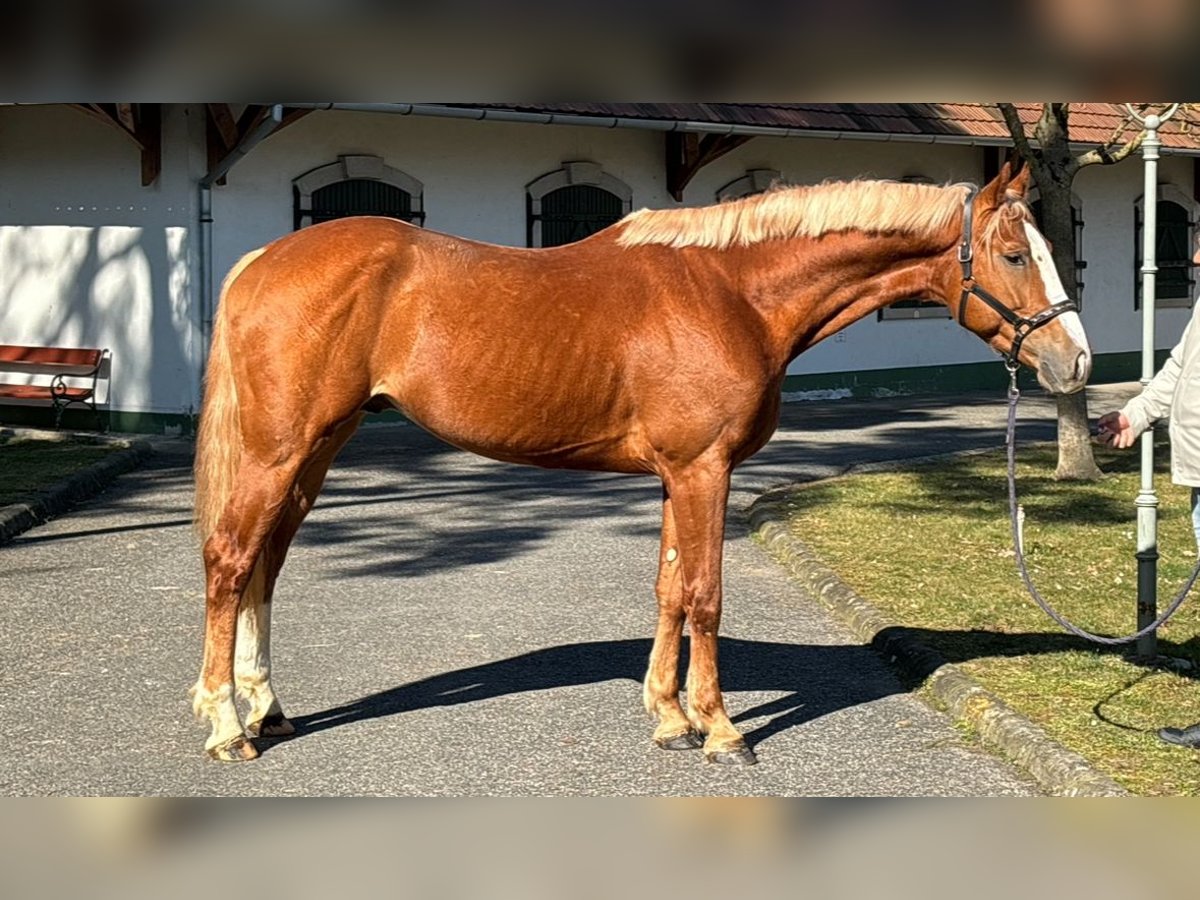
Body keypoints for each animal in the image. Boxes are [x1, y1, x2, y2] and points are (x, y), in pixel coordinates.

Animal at [194, 165, 1089, 763]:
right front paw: (721, 730)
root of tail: (261, 259)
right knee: (232, 561)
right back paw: (227, 725)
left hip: (317, 448)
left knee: (266, 564)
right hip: (279, 450)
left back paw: (268, 708)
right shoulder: (704, 469)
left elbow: (668, 589)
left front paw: (668, 716)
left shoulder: (675, 474)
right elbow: (706, 595)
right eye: (1016, 256)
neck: (731, 292)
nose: (1074, 361)